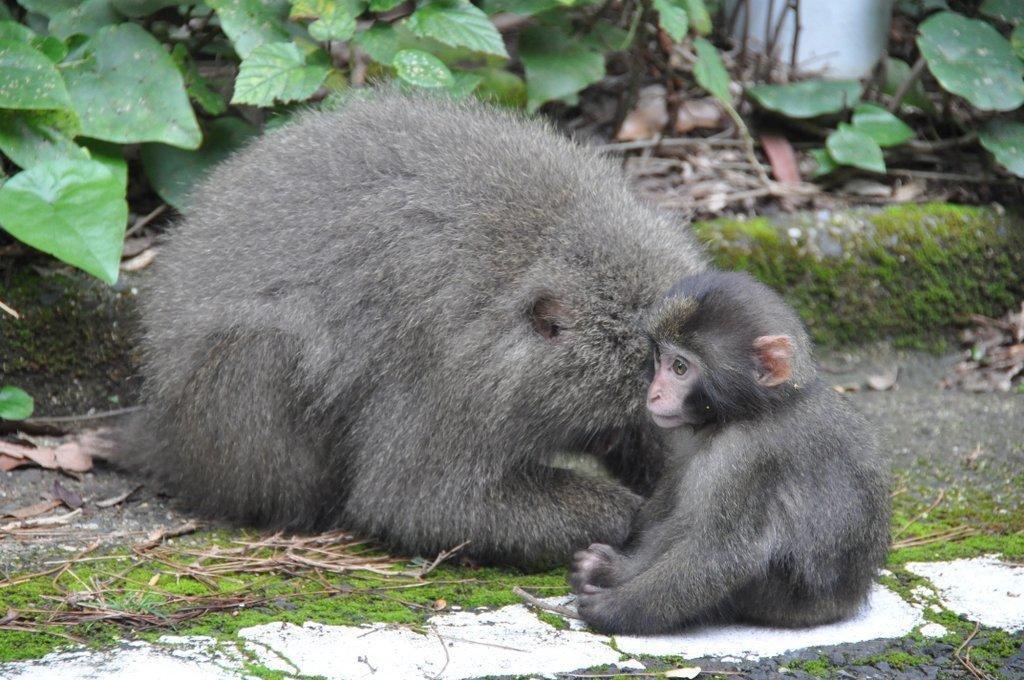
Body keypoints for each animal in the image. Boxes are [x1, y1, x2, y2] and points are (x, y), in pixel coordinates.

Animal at [569, 270, 888, 630]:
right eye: (660, 358)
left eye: (680, 368)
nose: (654, 393)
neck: (756, 408)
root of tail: (848, 602)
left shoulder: (746, 456)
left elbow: (723, 554)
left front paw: (614, 607)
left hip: (780, 599)